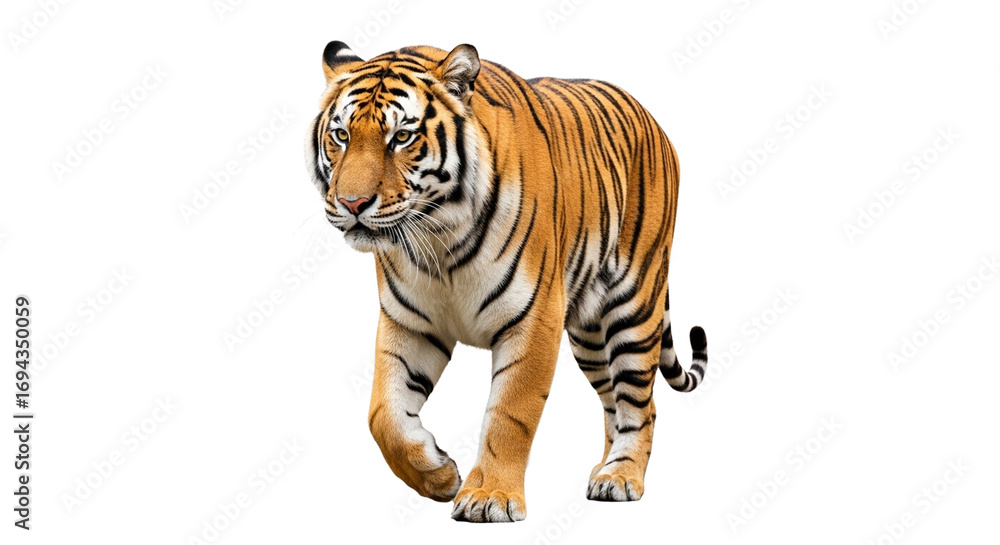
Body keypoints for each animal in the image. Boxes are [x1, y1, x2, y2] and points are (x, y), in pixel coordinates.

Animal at [305, 41, 709, 523]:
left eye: (401, 137)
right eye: (341, 135)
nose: (352, 203)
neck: (440, 237)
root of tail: (652, 119)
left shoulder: (533, 320)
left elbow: (510, 413)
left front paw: (489, 497)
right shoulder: (410, 323)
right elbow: (383, 414)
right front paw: (438, 474)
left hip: (634, 307)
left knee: (640, 405)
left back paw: (621, 476)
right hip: (589, 335)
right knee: (612, 401)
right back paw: (602, 469)